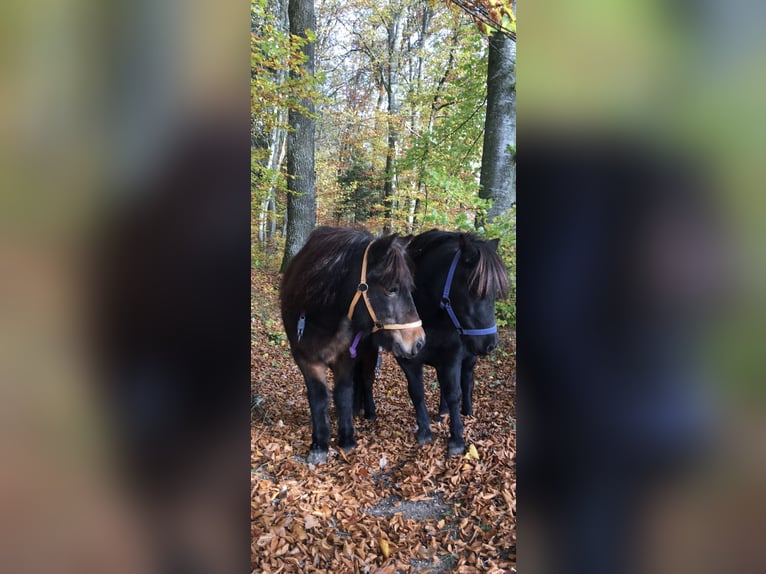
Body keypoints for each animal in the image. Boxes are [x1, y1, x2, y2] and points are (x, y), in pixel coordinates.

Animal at [280, 227, 426, 464]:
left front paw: (347, 439)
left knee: (366, 380)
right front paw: (319, 444)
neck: (321, 317)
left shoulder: (346, 358)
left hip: (368, 353)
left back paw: (368, 412)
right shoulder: (306, 359)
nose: (419, 341)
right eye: (392, 289)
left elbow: (343, 393)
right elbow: (319, 396)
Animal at [354, 230, 509, 456]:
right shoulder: (409, 360)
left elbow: (454, 393)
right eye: (473, 289)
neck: (429, 315)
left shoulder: (452, 358)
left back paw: (466, 411)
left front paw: (456, 439)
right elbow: (417, 392)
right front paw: (425, 431)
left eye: (495, 292)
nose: (489, 343)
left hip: (468, 359)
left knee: (466, 379)